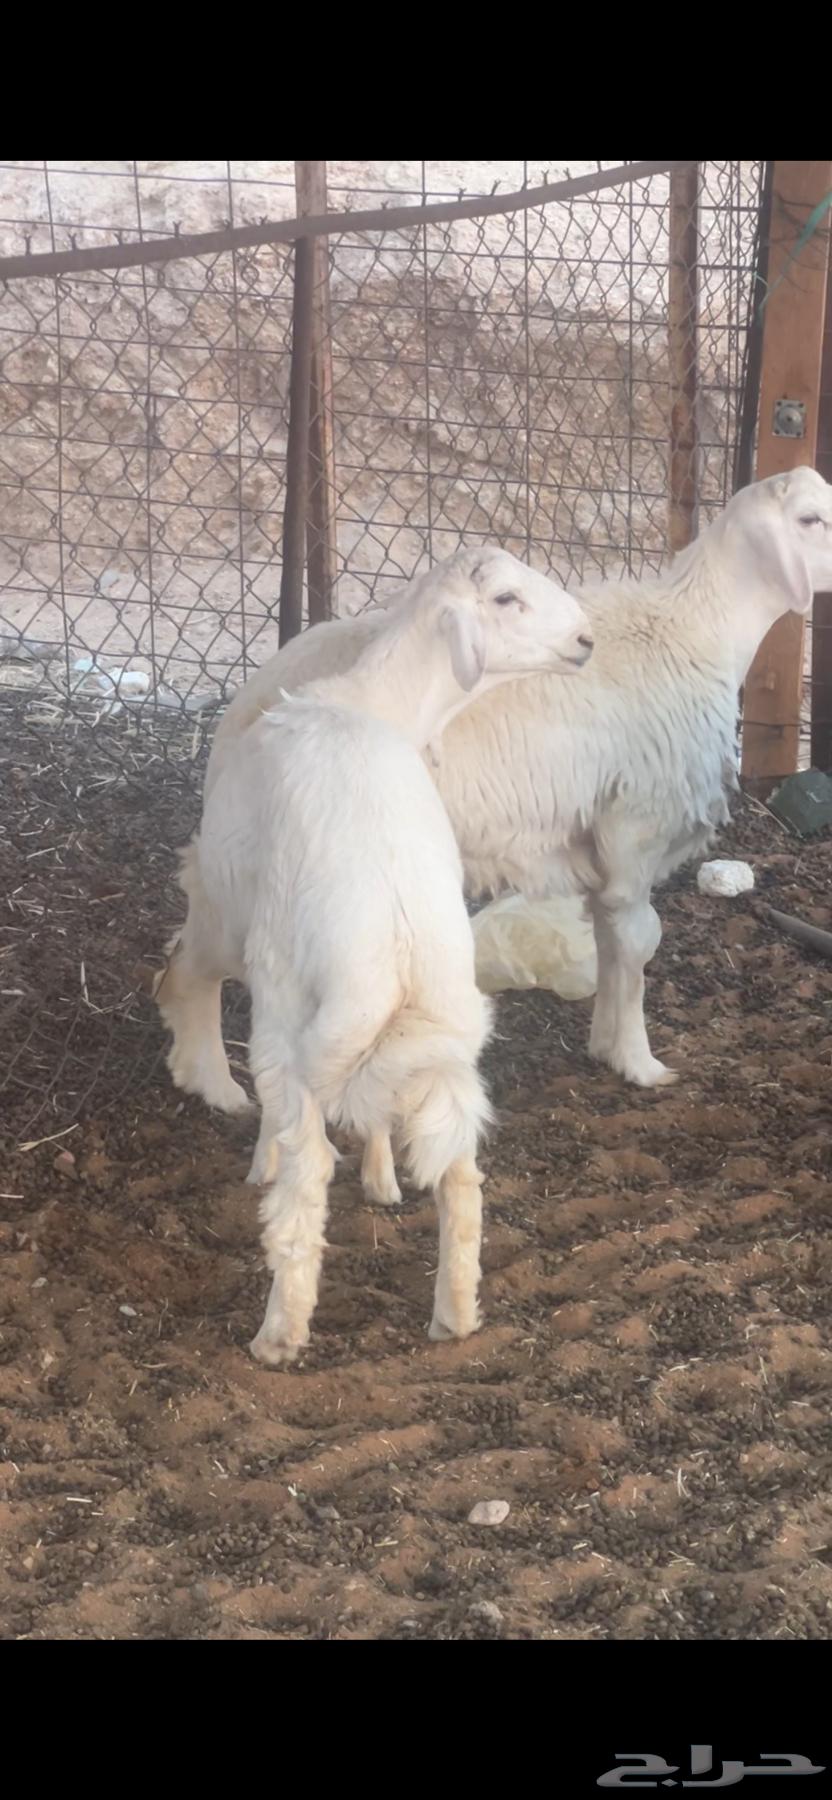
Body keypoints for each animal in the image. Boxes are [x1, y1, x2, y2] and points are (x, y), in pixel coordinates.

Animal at [157, 548, 592, 1363]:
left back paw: (279, 1331)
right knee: (462, 1179)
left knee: (303, 1177)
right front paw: (383, 1176)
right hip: (449, 1033)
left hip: (296, 1015)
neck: (369, 701)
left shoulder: (237, 911)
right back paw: (455, 1312)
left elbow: (192, 968)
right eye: (507, 597)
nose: (586, 639)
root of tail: (398, 946)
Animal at [204, 467, 832, 1102]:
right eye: (810, 518)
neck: (697, 630)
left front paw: (605, 1044)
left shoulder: (600, 839)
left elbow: (608, 938)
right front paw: (640, 1062)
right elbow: (637, 942)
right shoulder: (636, 824)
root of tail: (246, 708)